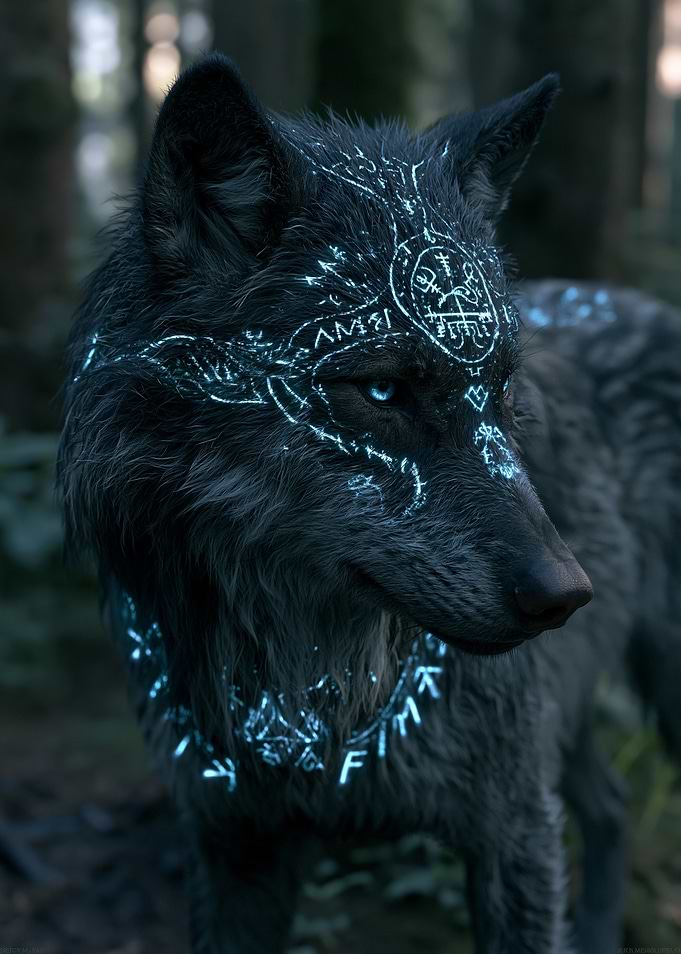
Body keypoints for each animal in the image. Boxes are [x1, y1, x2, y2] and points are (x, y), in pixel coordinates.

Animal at [58, 54, 681, 954]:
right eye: (382, 390)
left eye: (500, 390)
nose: (566, 594)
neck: (308, 693)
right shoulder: (232, 843)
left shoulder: (512, 828)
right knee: (610, 802)